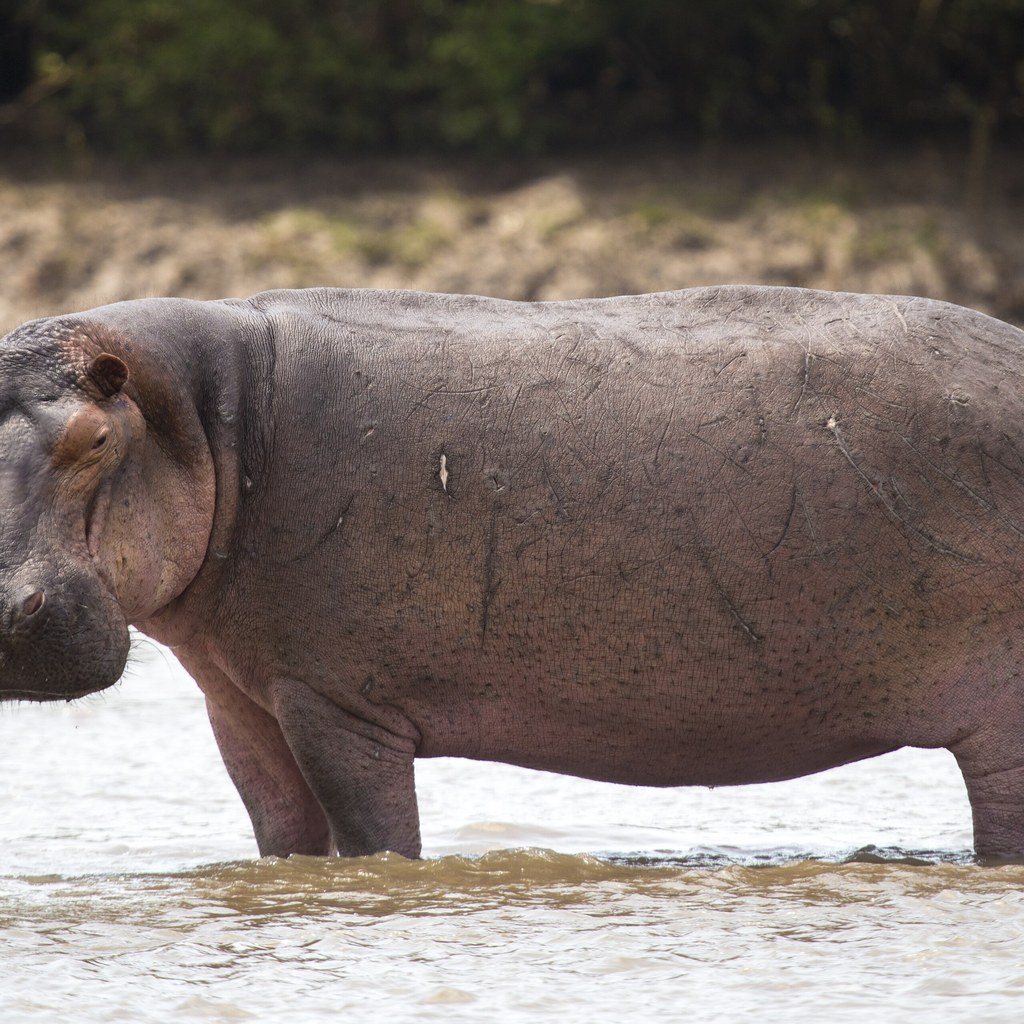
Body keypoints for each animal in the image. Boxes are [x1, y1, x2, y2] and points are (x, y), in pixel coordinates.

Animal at [3, 285, 1024, 861]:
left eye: (96, 439)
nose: (9, 611)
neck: (204, 417)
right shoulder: (242, 704)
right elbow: (281, 840)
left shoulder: (339, 703)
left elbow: (374, 844)